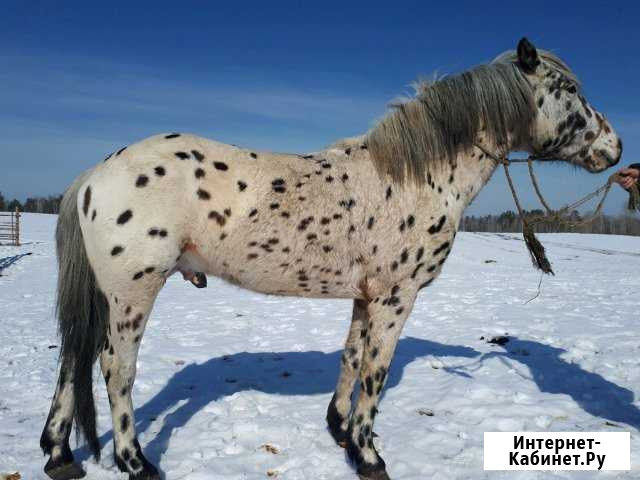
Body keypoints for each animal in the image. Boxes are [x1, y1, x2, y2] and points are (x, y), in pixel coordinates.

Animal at [38, 38, 620, 480]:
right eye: (570, 90)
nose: (613, 150)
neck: (416, 175)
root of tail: (92, 175)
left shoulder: (367, 296)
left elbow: (352, 358)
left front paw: (339, 430)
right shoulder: (396, 297)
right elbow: (376, 372)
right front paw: (369, 456)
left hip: (104, 296)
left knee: (74, 358)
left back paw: (60, 455)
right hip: (133, 292)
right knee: (115, 367)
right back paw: (136, 462)